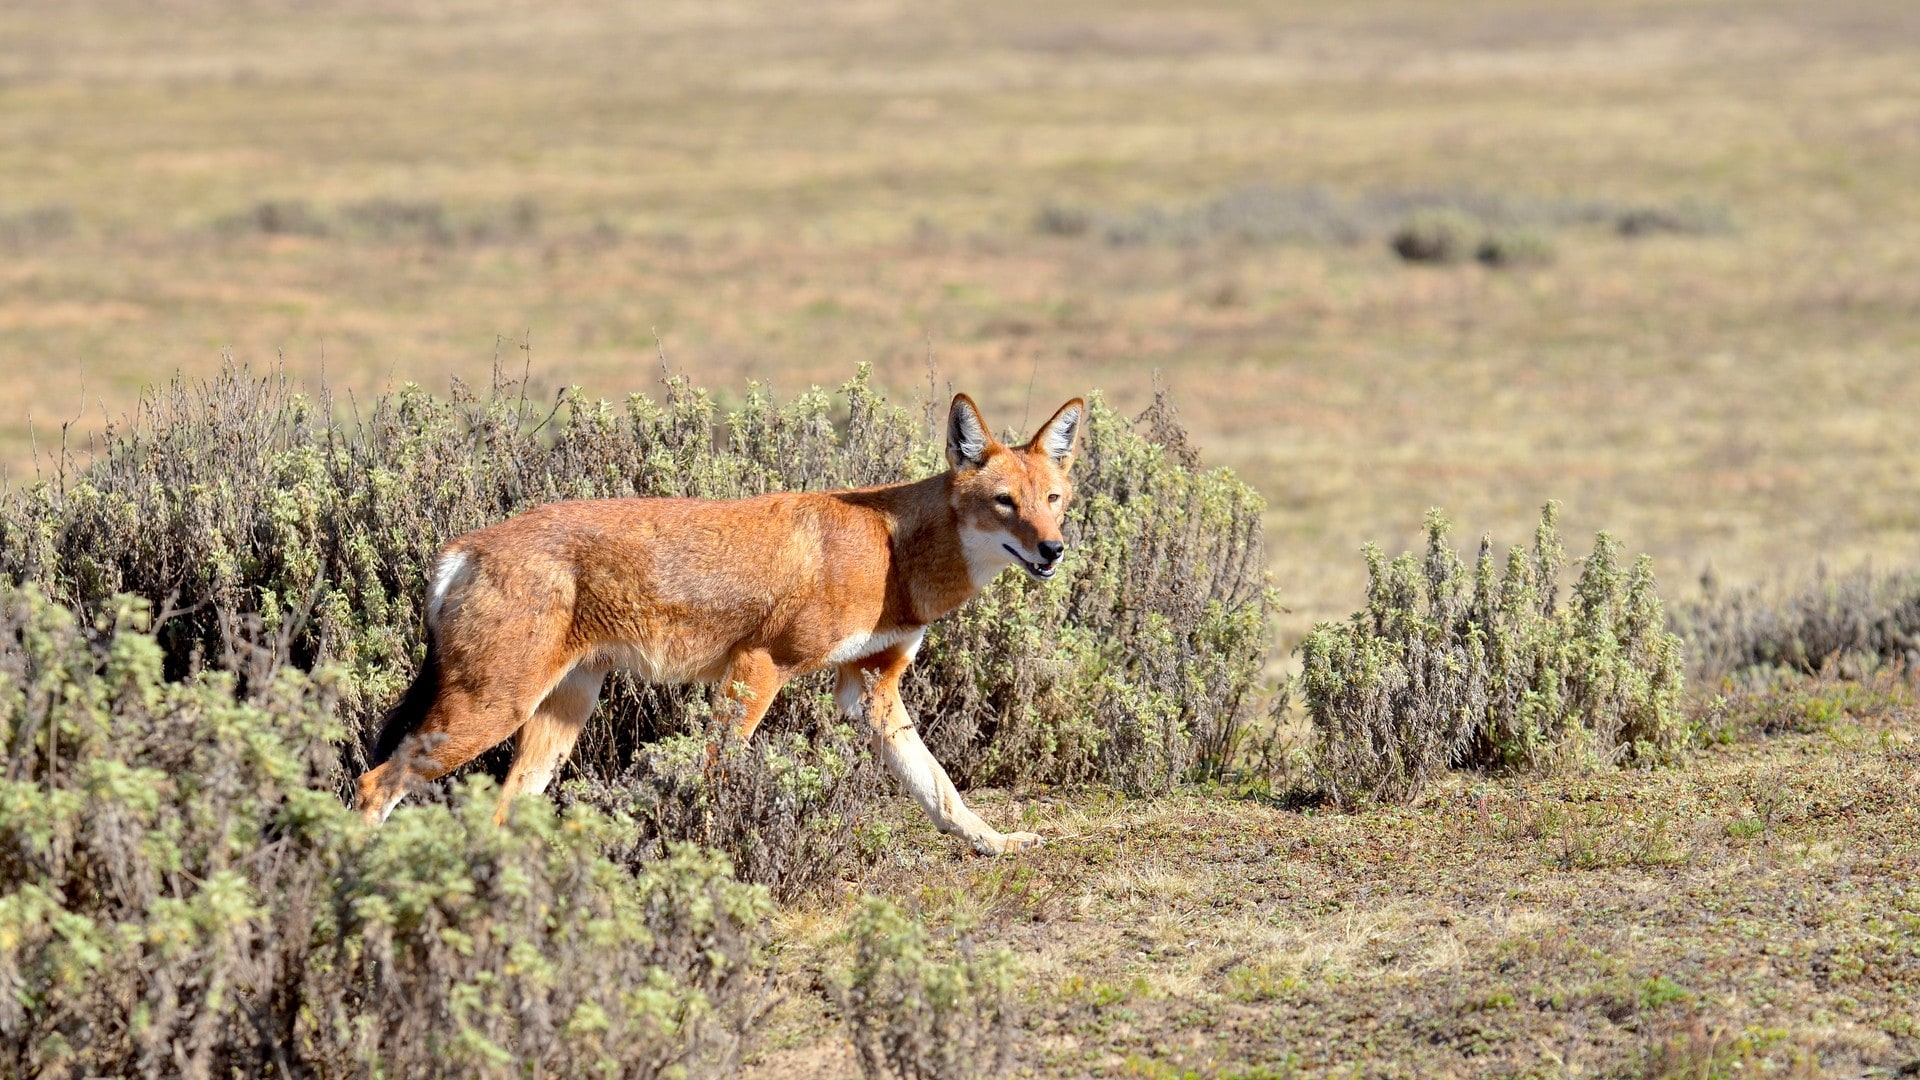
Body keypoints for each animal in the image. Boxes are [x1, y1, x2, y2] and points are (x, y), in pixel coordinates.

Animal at [360, 390, 1082, 853]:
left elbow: (942, 790)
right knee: (374, 785)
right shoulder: (758, 668)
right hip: (489, 716)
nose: (1053, 550)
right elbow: (716, 776)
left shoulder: (869, 689)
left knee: (501, 812)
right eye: (1004, 503)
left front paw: (997, 843)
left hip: (556, 720)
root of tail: (462, 547)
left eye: (1053, 499)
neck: (893, 551)